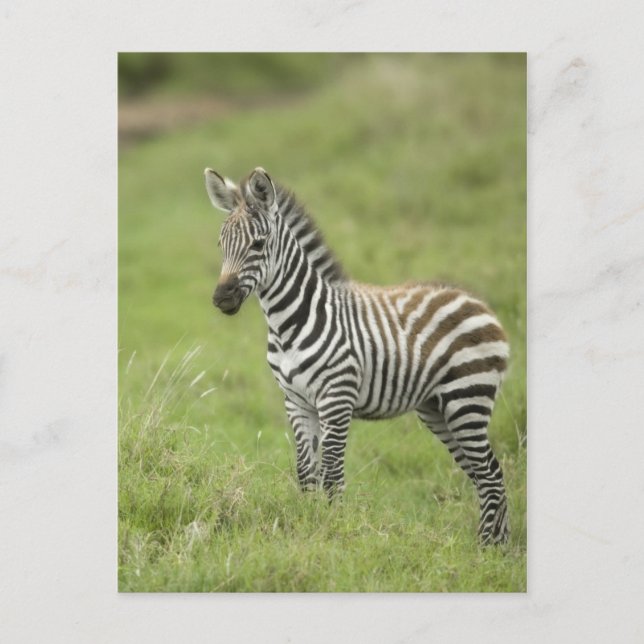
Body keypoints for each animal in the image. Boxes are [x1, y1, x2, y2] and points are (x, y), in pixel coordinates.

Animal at [205, 166, 510, 545]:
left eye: (258, 244)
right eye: (221, 245)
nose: (221, 298)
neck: (289, 323)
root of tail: (479, 302)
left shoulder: (336, 399)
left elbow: (332, 476)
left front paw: (332, 532)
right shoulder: (296, 401)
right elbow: (306, 474)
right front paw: (307, 526)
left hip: (467, 399)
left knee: (491, 474)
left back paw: (486, 548)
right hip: (438, 409)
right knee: (484, 475)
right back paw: (499, 546)